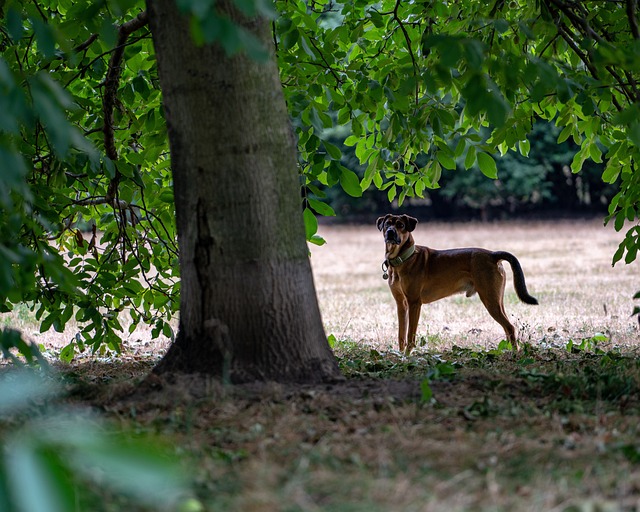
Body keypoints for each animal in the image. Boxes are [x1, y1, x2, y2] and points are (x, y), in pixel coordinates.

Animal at [378, 214, 536, 354]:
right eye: (387, 224)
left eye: (401, 225)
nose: (390, 232)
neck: (403, 259)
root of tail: (493, 255)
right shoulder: (401, 304)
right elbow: (401, 334)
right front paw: (400, 354)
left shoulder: (414, 303)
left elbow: (410, 335)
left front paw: (408, 355)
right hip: (497, 300)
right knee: (506, 328)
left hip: (490, 300)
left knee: (510, 327)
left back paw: (515, 353)